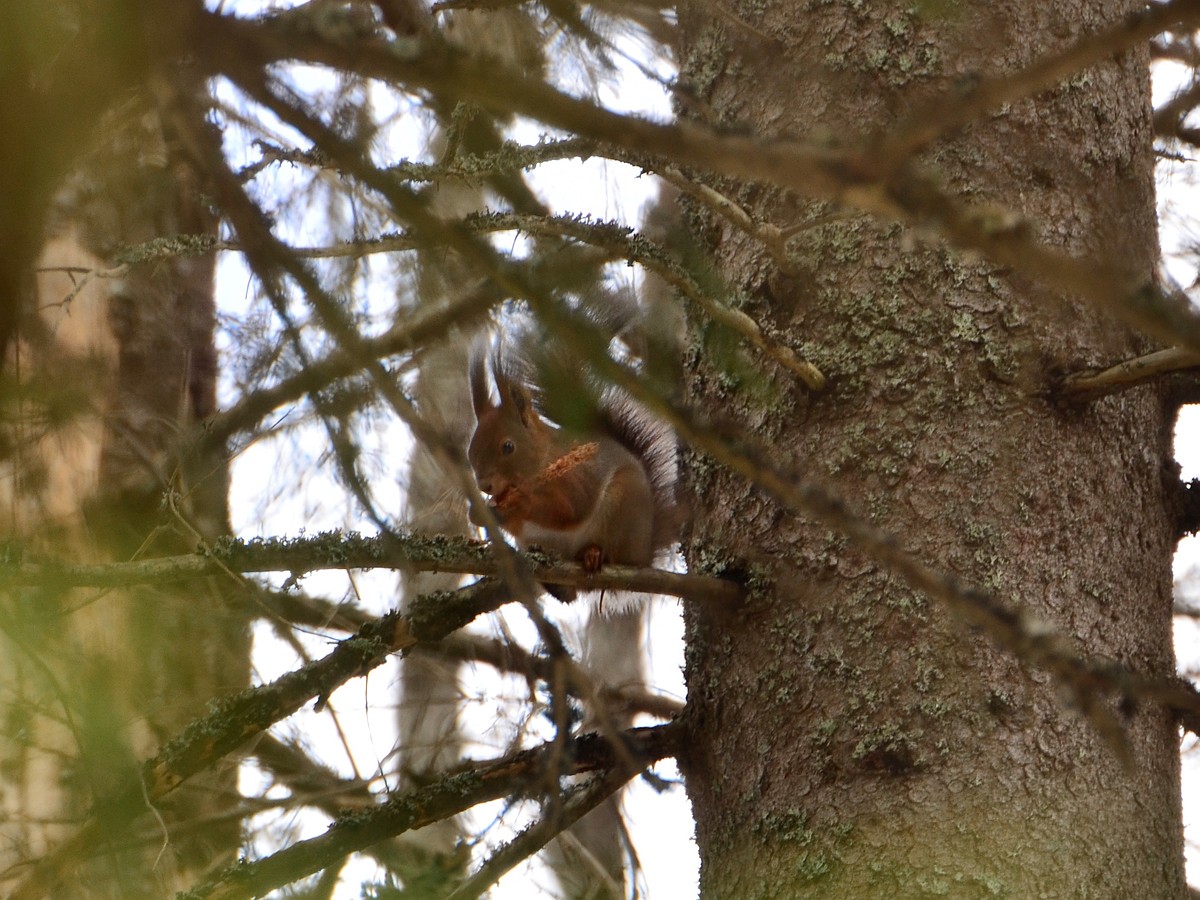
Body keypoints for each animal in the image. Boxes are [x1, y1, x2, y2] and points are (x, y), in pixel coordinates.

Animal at [463, 296, 681, 600]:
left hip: (623, 507)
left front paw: (521, 501)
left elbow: (571, 508)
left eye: (508, 446)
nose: (484, 485)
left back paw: (594, 554)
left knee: (615, 554)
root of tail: (645, 552)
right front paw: (481, 512)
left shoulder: (578, 475)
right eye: (470, 453)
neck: (543, 460)